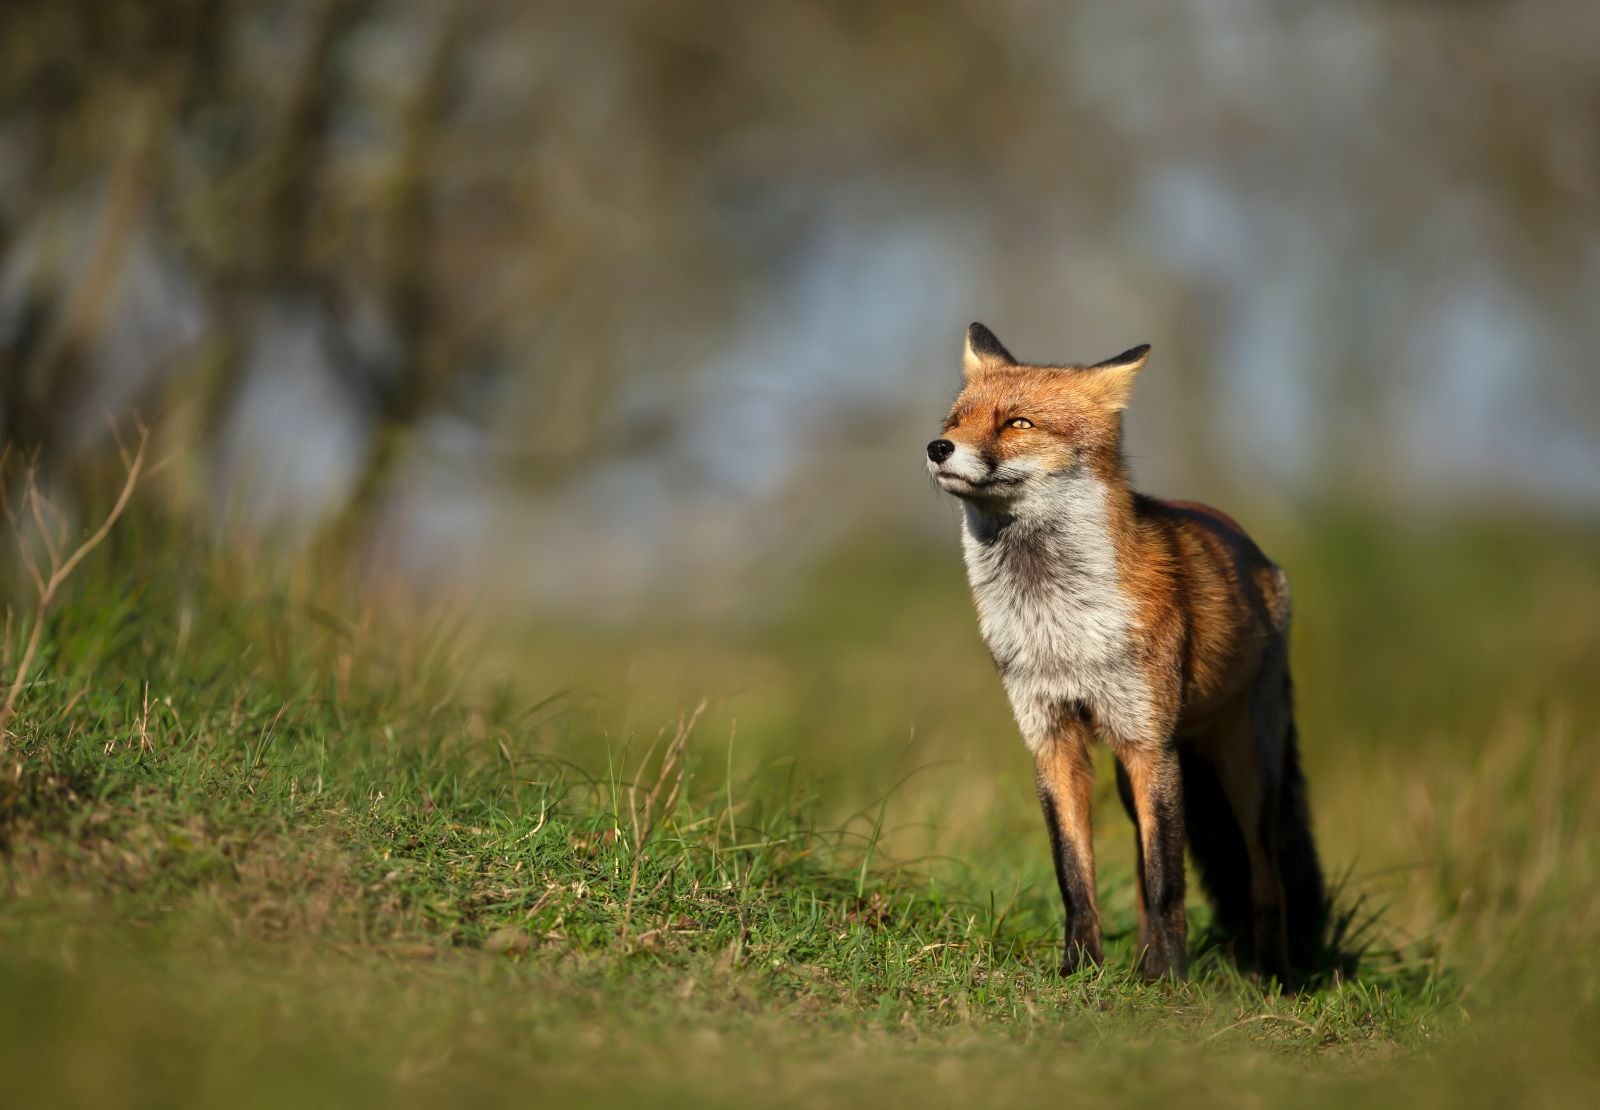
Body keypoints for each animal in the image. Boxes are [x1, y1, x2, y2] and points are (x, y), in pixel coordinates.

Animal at [926, 323, 1326, 983]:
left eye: (1018, 423)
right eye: (956, 420)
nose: (938, 448)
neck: (1056, 621)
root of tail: (1257, 552)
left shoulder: (1148, 743)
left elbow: (1169, 884)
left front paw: (1169, 981)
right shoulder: (1053, 739)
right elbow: (1075, 875)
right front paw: (1080, 968)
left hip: (1244, 768)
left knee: (1265, 877)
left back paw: (1271, 975)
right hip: (1134, 774)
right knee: (1144, 872)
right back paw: (1141, 963)